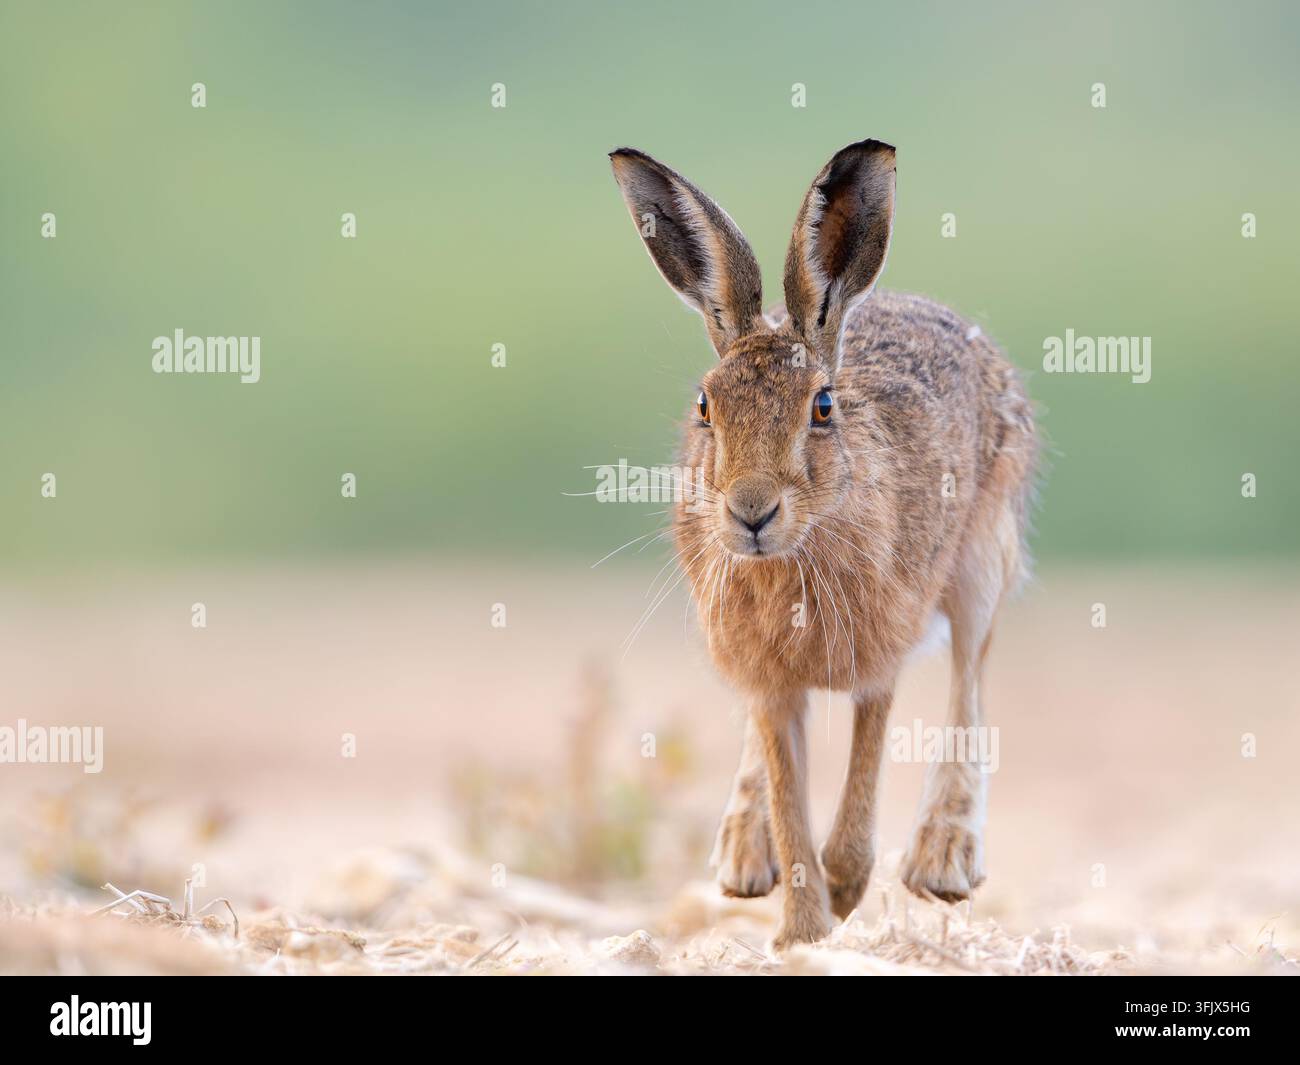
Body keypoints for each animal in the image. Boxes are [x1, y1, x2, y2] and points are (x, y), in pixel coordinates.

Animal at [609, 140, 1038, 949]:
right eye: (705, 406)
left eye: (823, 407)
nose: (751, 511)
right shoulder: (768, 678)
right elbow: (787, 792)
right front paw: (801, 933)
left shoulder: (880, 656)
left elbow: (860, 785)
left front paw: (842, 891)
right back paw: (744, 854)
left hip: (983, 559)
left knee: (970, 678)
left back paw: (944, 858)